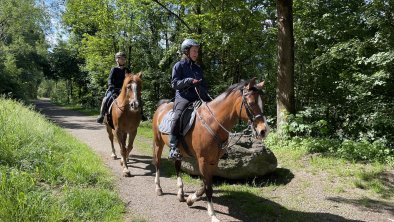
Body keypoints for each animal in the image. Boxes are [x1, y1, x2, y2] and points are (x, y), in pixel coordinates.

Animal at [152, 78, 268, 222]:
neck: (213, 122)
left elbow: (206, 184)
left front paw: (191, 199)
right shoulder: (203, 160)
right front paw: (212, 215)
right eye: (251, 103)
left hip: (179, 152)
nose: (263, 131)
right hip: (158, 143)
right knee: (157, 163)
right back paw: (158, 188)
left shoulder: (214, 161)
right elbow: (208, 187)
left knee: (177, 166)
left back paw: (180, 193)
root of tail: (162, 106)